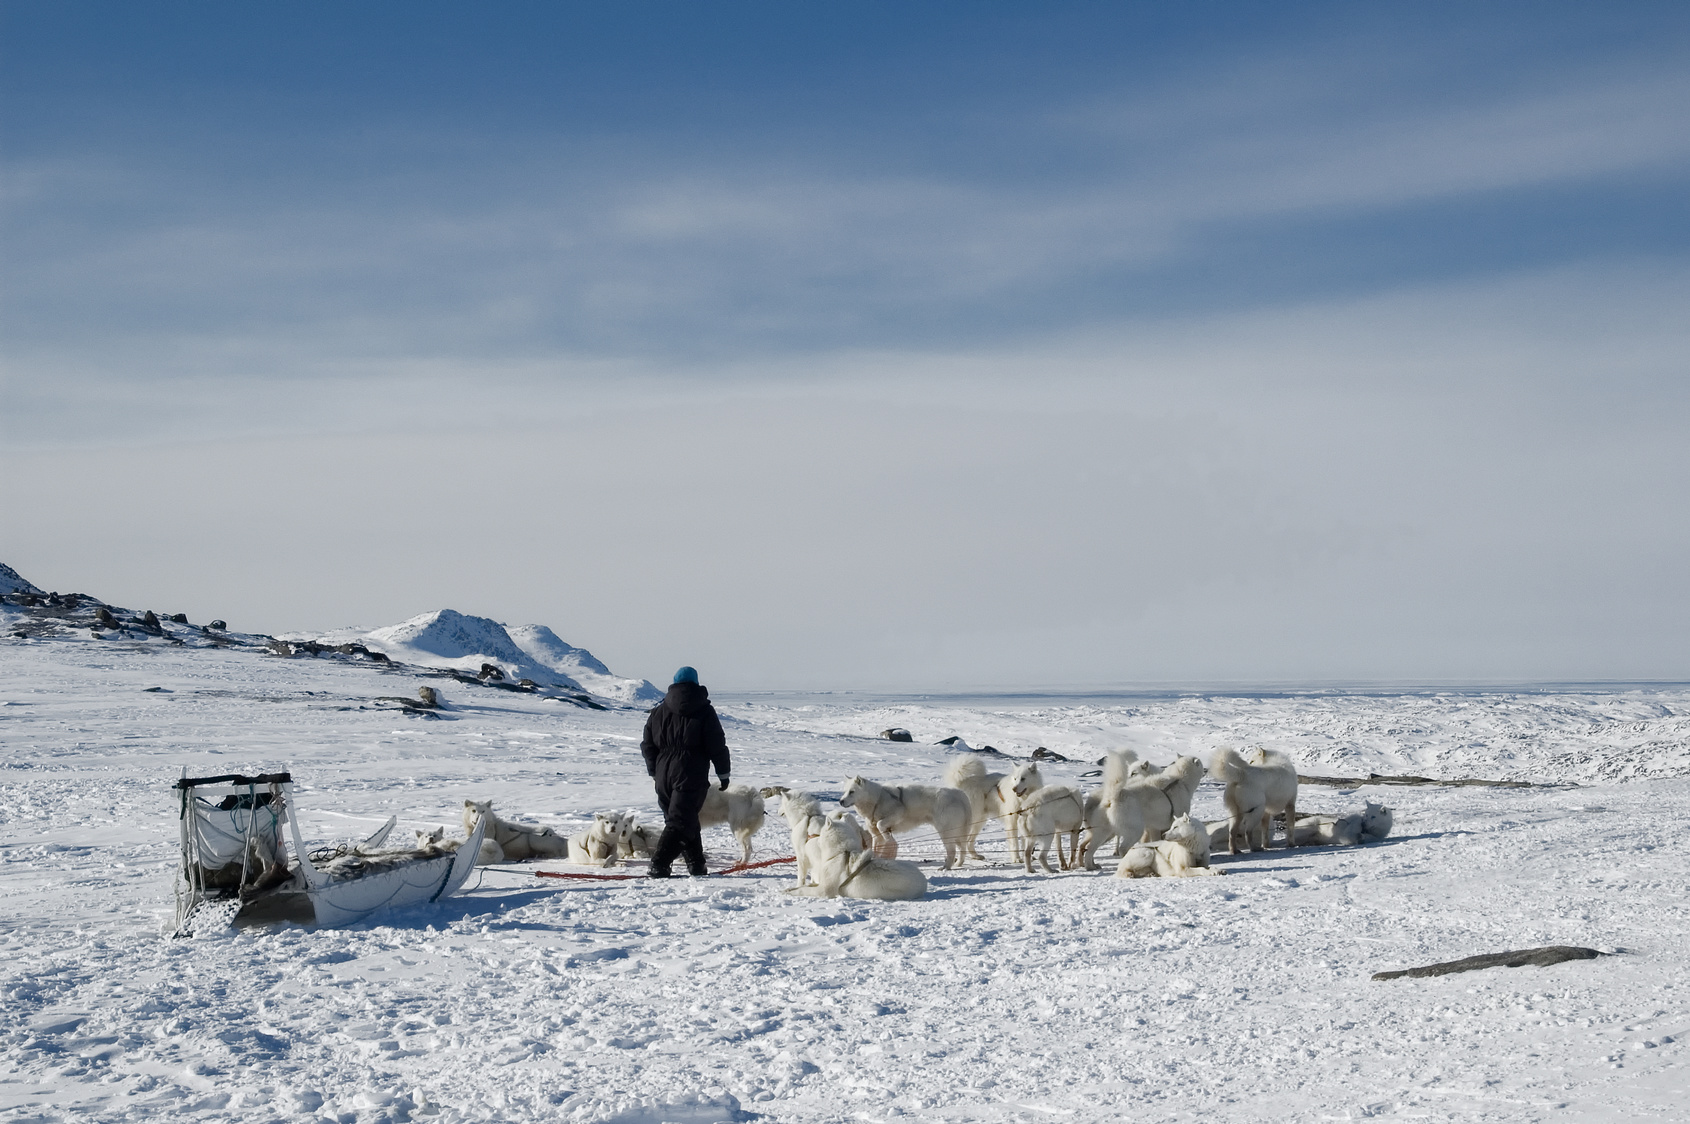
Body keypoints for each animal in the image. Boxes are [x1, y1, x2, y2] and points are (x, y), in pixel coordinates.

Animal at [787, 811, 932, 899]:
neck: (841, 853)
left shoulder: (825, 890)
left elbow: (804, 890)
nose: (812, 838)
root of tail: (923, 881)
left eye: (821, 833)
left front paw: (790, 892)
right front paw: (790, 889)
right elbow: (804, 886)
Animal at [838, 777, 973, 872]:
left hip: (946, 832)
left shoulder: (898, 813)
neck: (878, 799)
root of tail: (959, 794)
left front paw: (888, 838)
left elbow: (881, 825)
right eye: (844, 792)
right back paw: (958, 863)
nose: (840, 801)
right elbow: (876, 847)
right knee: (962, 849)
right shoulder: (876, 835)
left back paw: (946, 867)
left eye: (852, 792)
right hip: (956, 834)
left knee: (952, 851)